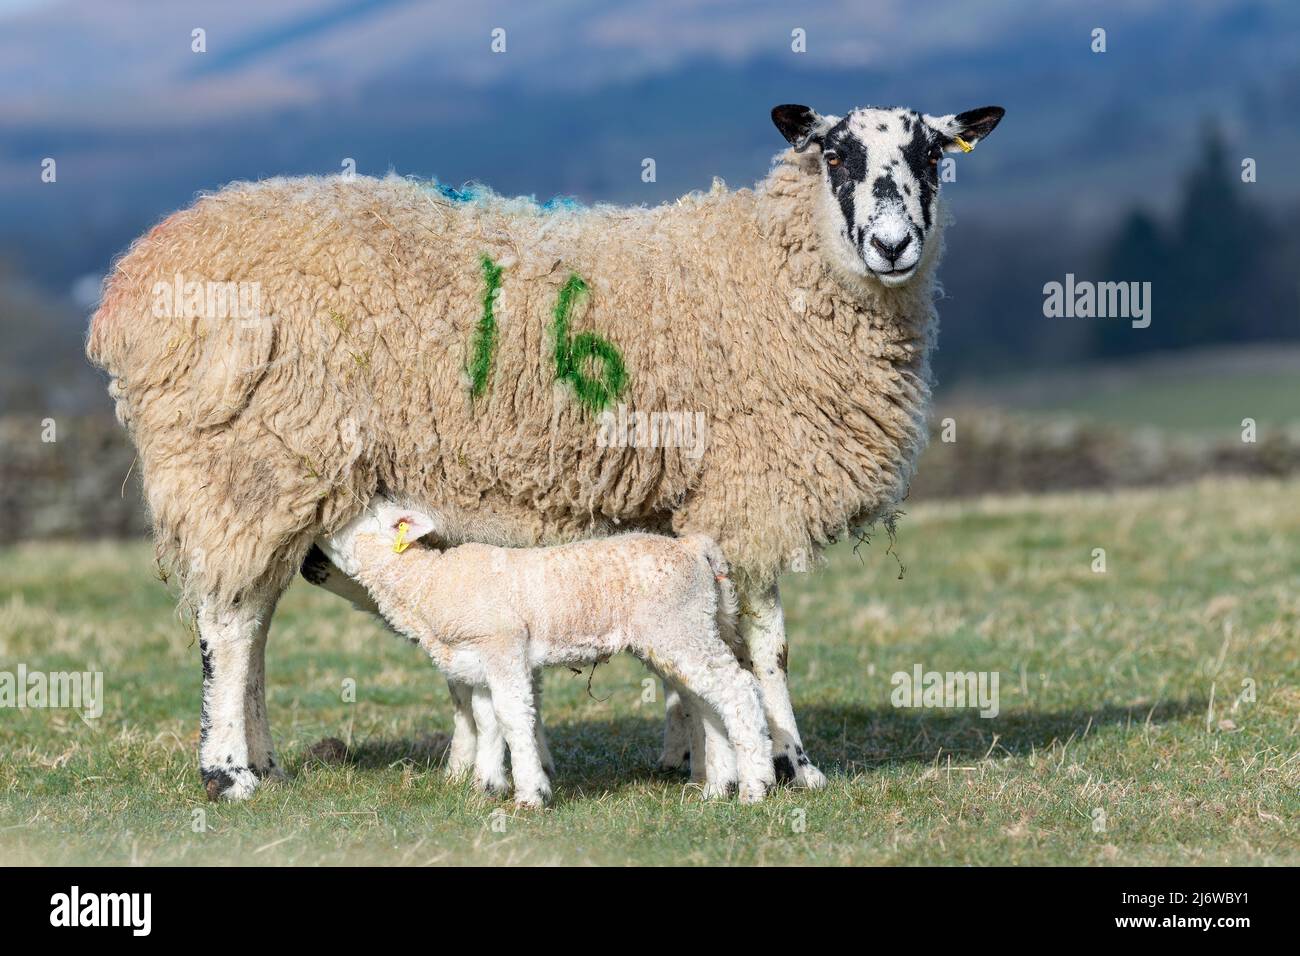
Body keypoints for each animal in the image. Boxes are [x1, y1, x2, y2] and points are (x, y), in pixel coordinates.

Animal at [316, 498, 774, 806]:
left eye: (353, 515)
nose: (316, 533)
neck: (429, 585)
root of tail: (694, 548)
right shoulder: (478, 660)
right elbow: (486, 719)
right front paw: (487, 786)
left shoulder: (503, 647)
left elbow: (514, 717)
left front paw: (529, 794)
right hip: (689, 631)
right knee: (706, 701)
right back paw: (717, 787)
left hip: (679, 627)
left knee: (738, 689)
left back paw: (755, 787)